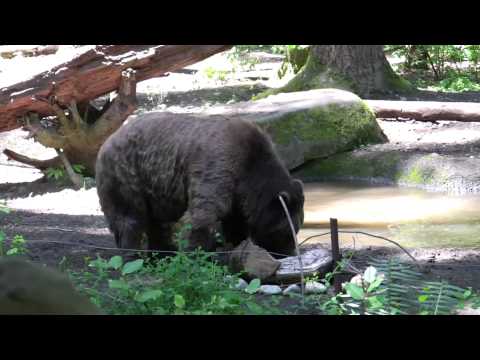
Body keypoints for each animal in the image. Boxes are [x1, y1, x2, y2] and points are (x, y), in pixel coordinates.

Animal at [95, 112, 304, 256]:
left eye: (297, 227)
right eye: (285, 230)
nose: (289, 253)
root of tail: (106, 141)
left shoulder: (238, 193)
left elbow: (235, 221)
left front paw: (236, 244)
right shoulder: (218, 167)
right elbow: (201, 215)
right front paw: (198, 254)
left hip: (152, 190)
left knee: (157, 223)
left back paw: (162, 252)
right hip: (128, 173)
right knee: (129, 218)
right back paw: (133, 255)